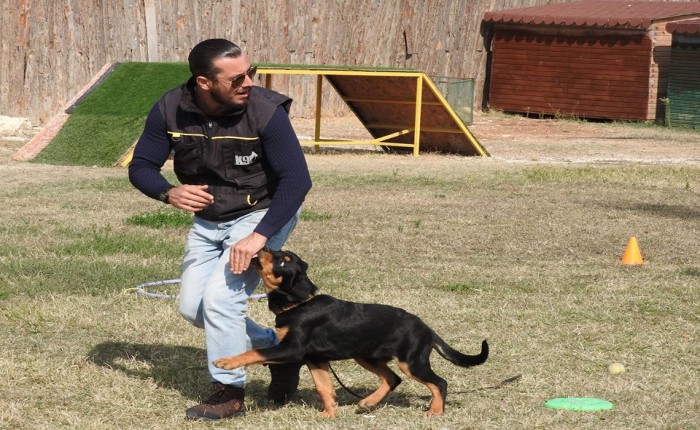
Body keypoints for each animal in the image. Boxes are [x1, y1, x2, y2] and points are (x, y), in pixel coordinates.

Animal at [211, 247, 490, 418]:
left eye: (281, 261)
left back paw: (435, 411)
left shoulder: (292, 349)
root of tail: (427, 329)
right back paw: (368, 403)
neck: (299, 304)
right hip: (365, 355)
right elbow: (324, 387)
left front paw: (226, 362)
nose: (263, 246)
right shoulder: (316, 359)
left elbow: (254, 352)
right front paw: (328, 415)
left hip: (410, 361)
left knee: (439, 383)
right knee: (392, 379)